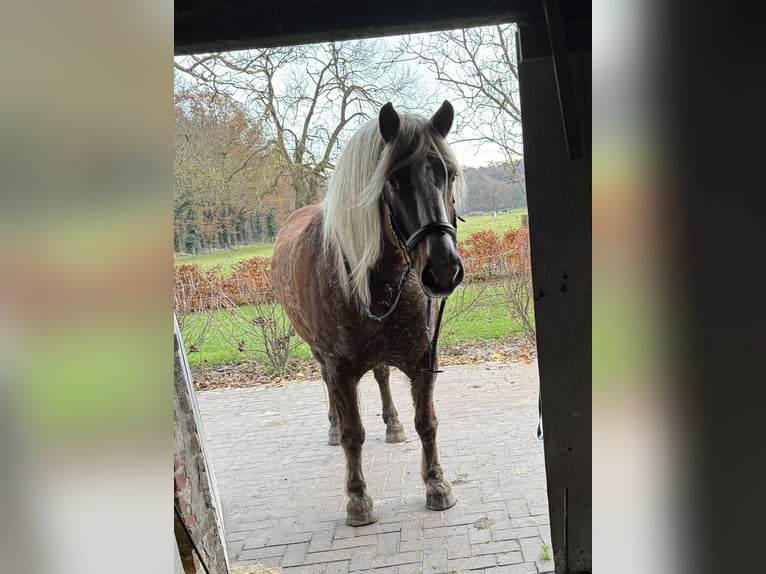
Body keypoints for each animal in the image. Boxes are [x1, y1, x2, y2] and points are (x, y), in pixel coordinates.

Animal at [271, 101, 464, 526]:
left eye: (449, 173)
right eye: (393, 181)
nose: (443, 270)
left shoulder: (422, 360)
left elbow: (427, 422)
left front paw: (436, 484)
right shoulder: (340, 367)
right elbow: (352, 434)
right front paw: (358, 498)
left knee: (381, 376)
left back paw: (392, 424)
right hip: (320, 355)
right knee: (330, 390)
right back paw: (332, 426)